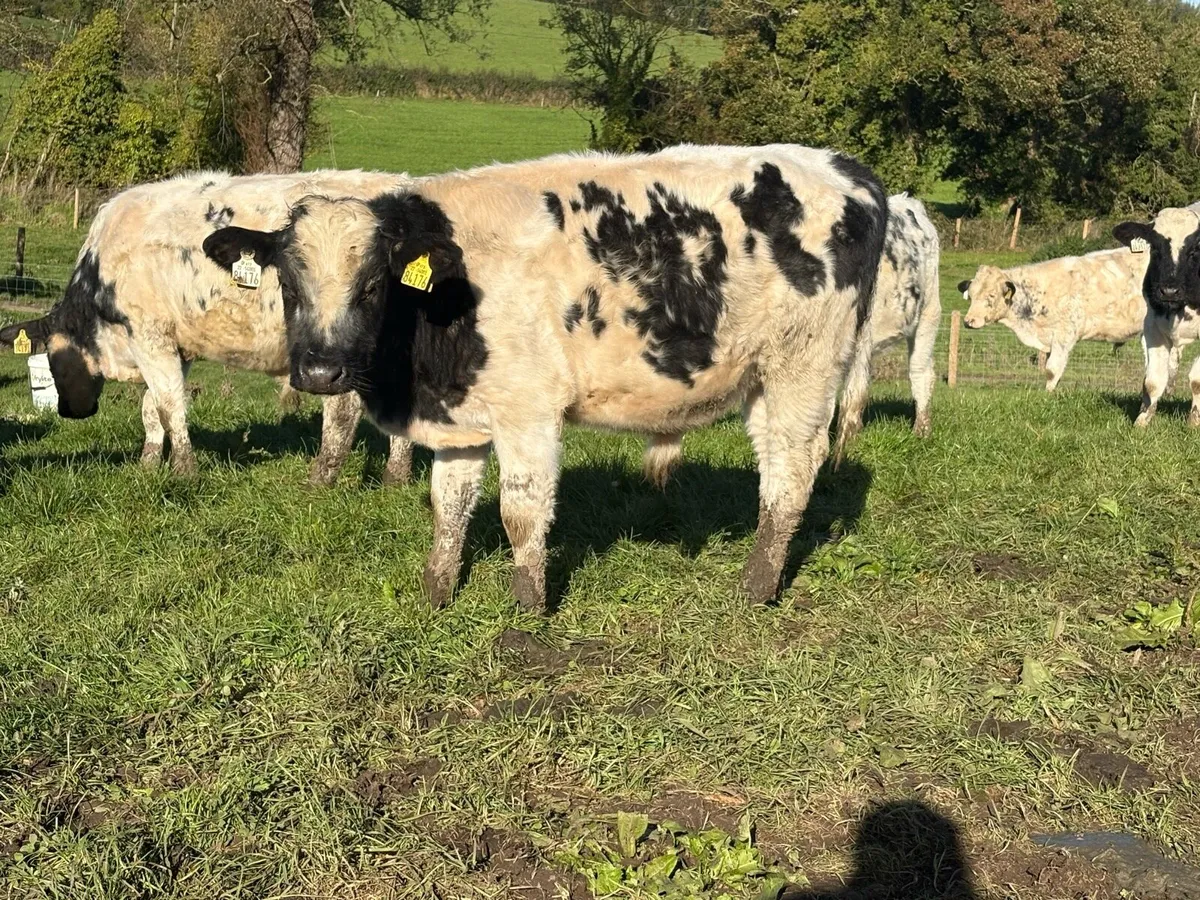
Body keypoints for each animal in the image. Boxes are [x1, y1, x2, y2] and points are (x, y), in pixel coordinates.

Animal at [0, 170, 415, 484]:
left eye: (52, 361)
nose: (69, 412)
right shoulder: (175, 346)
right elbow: (151, 408)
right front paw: (148, 464)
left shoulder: (149, 335)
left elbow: (170, 405)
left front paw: (184, 471)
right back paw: (396, 478)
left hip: (336, 349)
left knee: (342, 408)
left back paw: (320, 479)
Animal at [203, 145, 889, 611]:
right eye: (288, 284)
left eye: (372, 285)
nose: (320, 370)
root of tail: (842, 167)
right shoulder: (461, 415)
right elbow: (449, 506)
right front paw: (437, 593)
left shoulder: (527, 411)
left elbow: (521, 513)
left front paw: (527, 609)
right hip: (762, 377)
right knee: (776, 464)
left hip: (804, 365)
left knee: (793, 469)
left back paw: (756, 587)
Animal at [957, 247, 1155, 392]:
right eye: (971, 295)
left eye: (991, 295)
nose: (968, 321)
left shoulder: (1064, 336)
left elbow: (1052, 370)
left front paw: (1048, 394)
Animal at [1112, 205, 1200, 426]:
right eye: (1155, 249)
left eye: (1195, 250)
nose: (1169, 291)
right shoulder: (1153, 326)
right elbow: (1152, 381)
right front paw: (1142, 421)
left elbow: (1196, 380)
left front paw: (1194, 421)